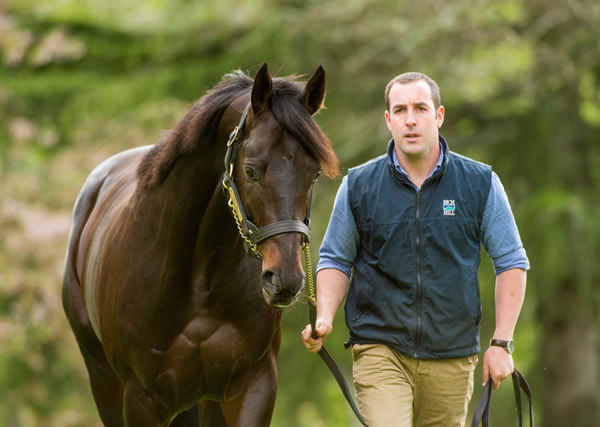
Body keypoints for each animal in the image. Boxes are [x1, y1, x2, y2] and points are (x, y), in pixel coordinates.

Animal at [64, 64, 342, 427]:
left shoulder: (252, 386)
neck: (199, 279)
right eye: (251, 171)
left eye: (314, 175)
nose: (285, 280)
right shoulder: (141, 400)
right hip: (105, 383)